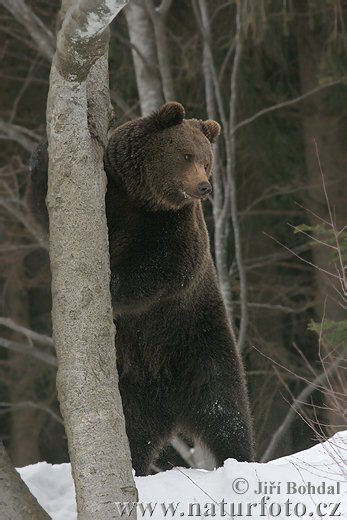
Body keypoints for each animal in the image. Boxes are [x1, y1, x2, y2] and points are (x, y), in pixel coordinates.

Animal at [28, 101, 254, 476]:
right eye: (187, 154)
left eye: (206, 160)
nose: (204, 186)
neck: (142, 196)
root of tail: (171, 402)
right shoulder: (110, 200)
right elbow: (47, 214)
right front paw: (40, 153)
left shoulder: (173, 227)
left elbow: (167, 267)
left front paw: (112, 284)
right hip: (131, 385)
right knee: (133, 434)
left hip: (200, 342)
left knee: (225, 408)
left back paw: (238, 459)